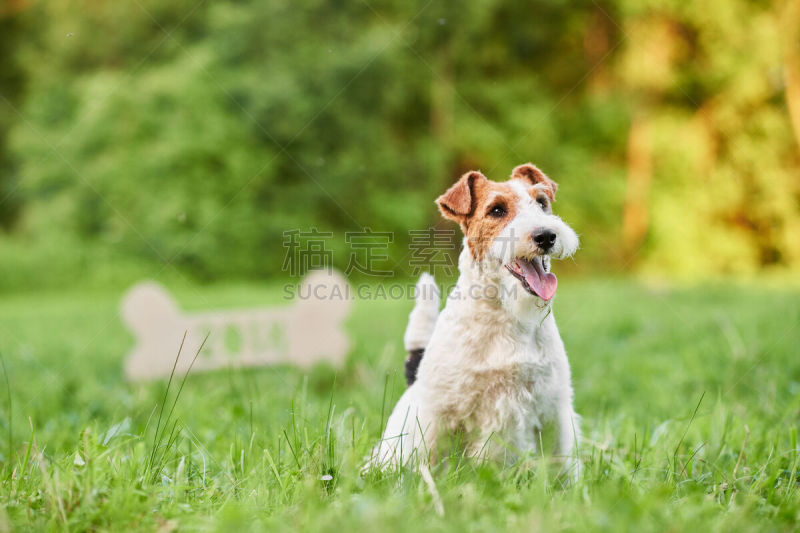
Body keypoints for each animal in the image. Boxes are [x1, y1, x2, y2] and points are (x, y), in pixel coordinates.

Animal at [368, 163, 580, 478]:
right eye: (497, 210)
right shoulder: (437, 415)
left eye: (542, 202)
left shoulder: (553, 409)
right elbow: (428, 461)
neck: (506, 315)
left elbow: (560, 467)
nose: (545, 236)